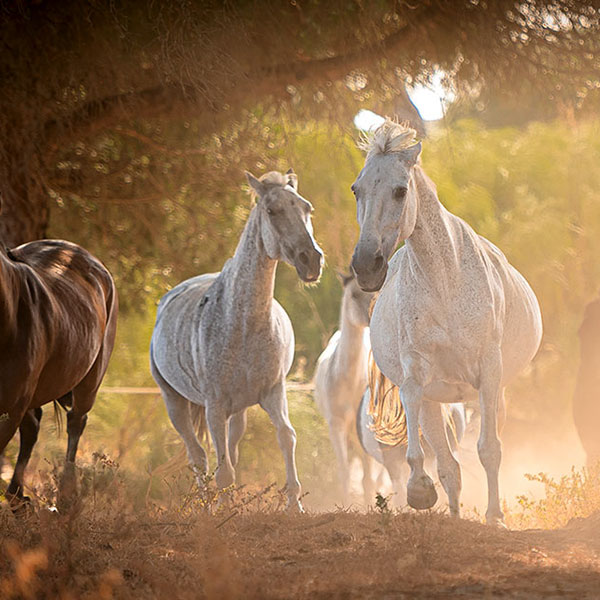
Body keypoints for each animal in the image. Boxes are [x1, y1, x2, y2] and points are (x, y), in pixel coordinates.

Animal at [0, 227, 119, 508]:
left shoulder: (10, 406)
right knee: (33, 427)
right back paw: (18, 499)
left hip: (90, 380)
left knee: (75, 421)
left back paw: (65, 498)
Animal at [150, 169, 324, 510]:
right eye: (272, 210)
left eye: (307, 208)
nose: (311, 260)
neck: (244, 323)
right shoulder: (214, 405)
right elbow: (222, 471)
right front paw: (223, 510)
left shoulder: (273, 391)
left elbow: (286, 437)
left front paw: (294, 505)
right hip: (174, 401)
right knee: (198, 456)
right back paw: (207, 507)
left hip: (238, 411)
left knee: (229, 450)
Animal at [352, 118, 544, 524]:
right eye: (356, 189)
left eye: (400, 190)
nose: (365, 266)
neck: (445, 279)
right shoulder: (415, 371)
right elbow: (425, 450)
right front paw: (419, 490)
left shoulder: (489, 372)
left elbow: (489, 449)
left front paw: (495, 517)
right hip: (434, 402)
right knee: (448, 464)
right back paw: (453, 516)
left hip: (494, 395)